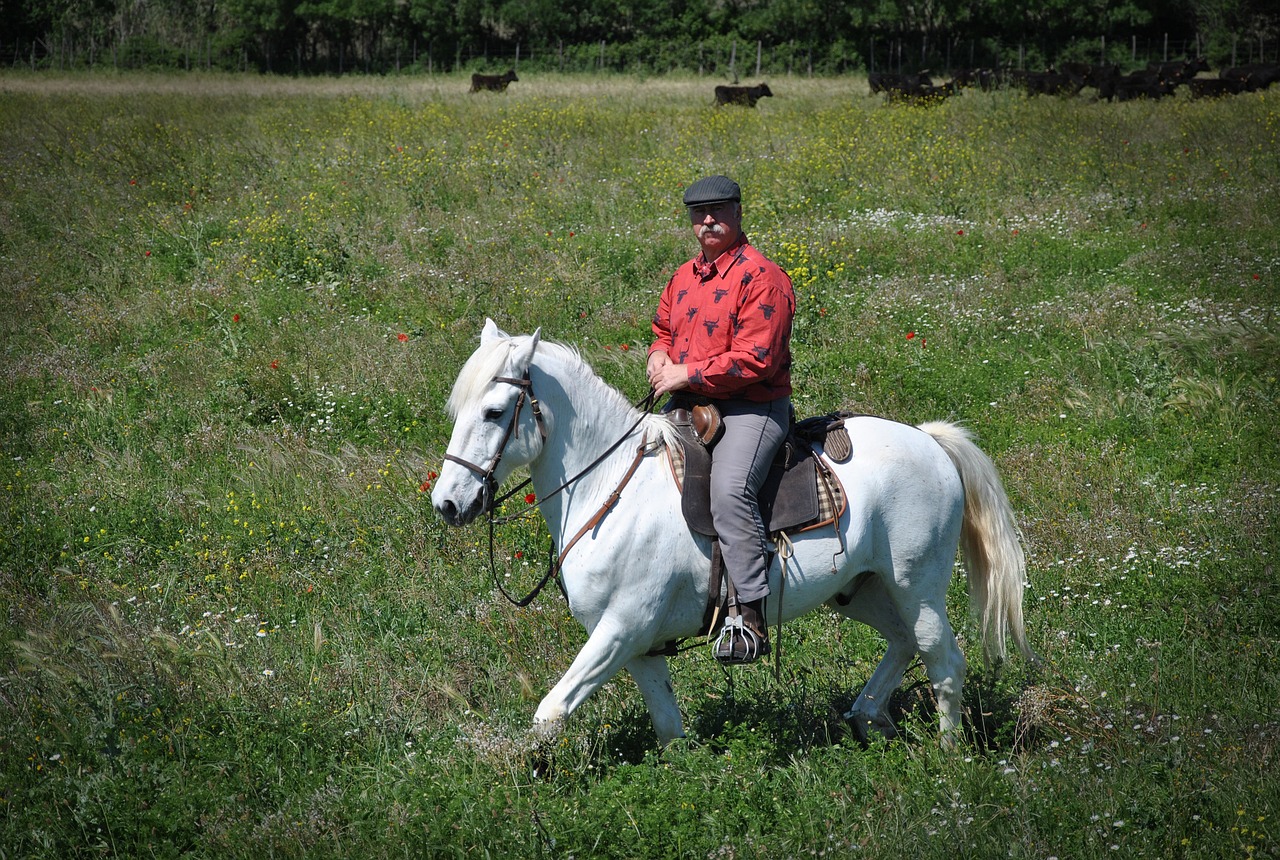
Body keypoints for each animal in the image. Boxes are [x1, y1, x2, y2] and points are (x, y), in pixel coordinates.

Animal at [435, 321, 1034, 747]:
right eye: (458, 409)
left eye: (494, 411)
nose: (447, 503)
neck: (610, 486)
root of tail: (930, 441)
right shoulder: (639, 647)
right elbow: (670, 731)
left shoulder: (622, 628)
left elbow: (551, 713)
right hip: (859, 589)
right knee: (903, 641)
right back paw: (869, 717)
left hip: (918, 585)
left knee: (942, 659)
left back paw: (947, 760)